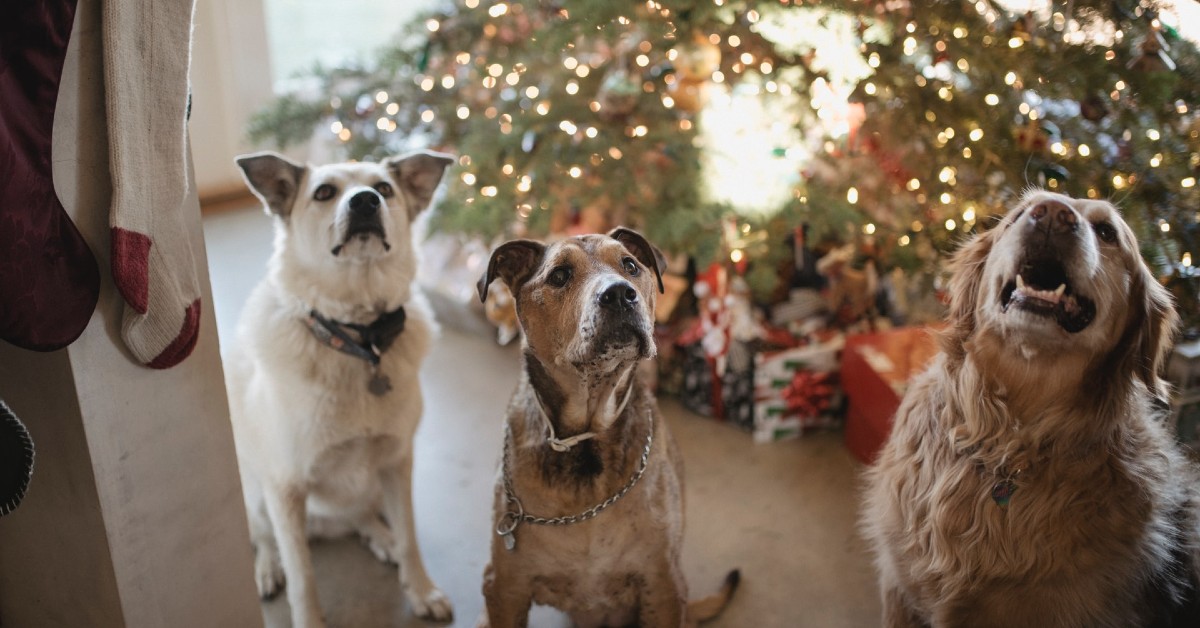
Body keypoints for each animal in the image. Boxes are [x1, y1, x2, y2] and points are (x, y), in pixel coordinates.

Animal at [225, 150, 453, 624]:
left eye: (384, 188)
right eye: (325, 192)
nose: (365, 201)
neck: (359, 339)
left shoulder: (396, 462)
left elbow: (410, 537)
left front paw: (420, 589)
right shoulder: (285, 488)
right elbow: (303, 576)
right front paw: (308, 618)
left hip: (371, 486)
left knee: (362, 516)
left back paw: (380, 538)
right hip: (257, 494)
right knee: (264, 537)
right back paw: (267, 568)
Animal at [477, 229, 739, 628]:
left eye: (630, 265)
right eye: (559, 275)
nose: (619, 294)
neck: (586, 441)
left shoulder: (663, 585)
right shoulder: (506, 587)